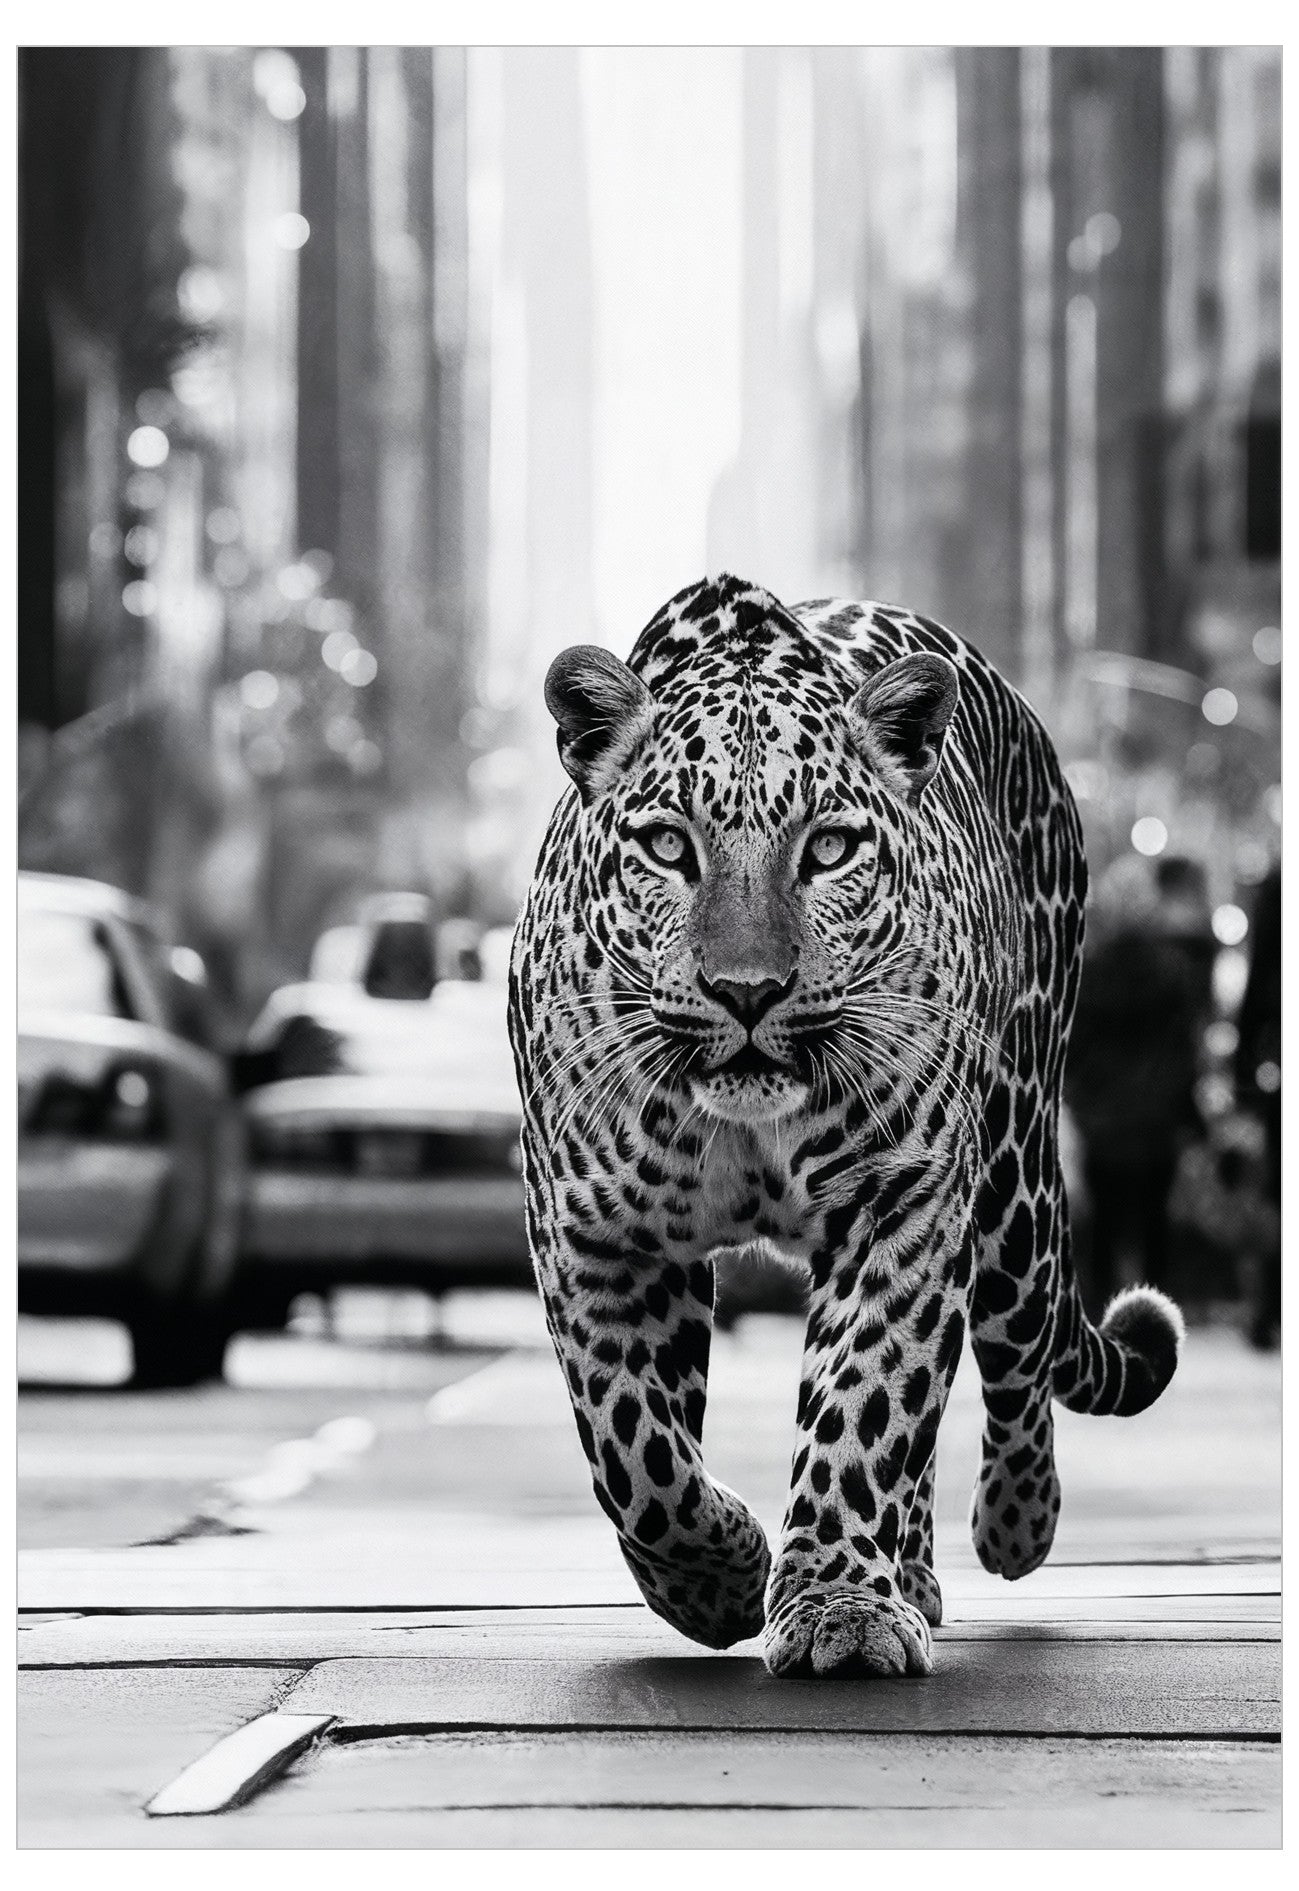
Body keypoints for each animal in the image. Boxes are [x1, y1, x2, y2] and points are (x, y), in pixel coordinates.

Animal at [508, 572, 1184, 1679]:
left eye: (827, 848)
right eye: (667, 846)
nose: (747, 991)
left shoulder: (900, 1200)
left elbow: (869, 1400)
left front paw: (837, 1605)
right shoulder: (590, 1229)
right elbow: (634, 1448)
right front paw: (716, 1582)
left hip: (1013, 1179)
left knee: (1018, 1351)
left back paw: (1010, 1522)